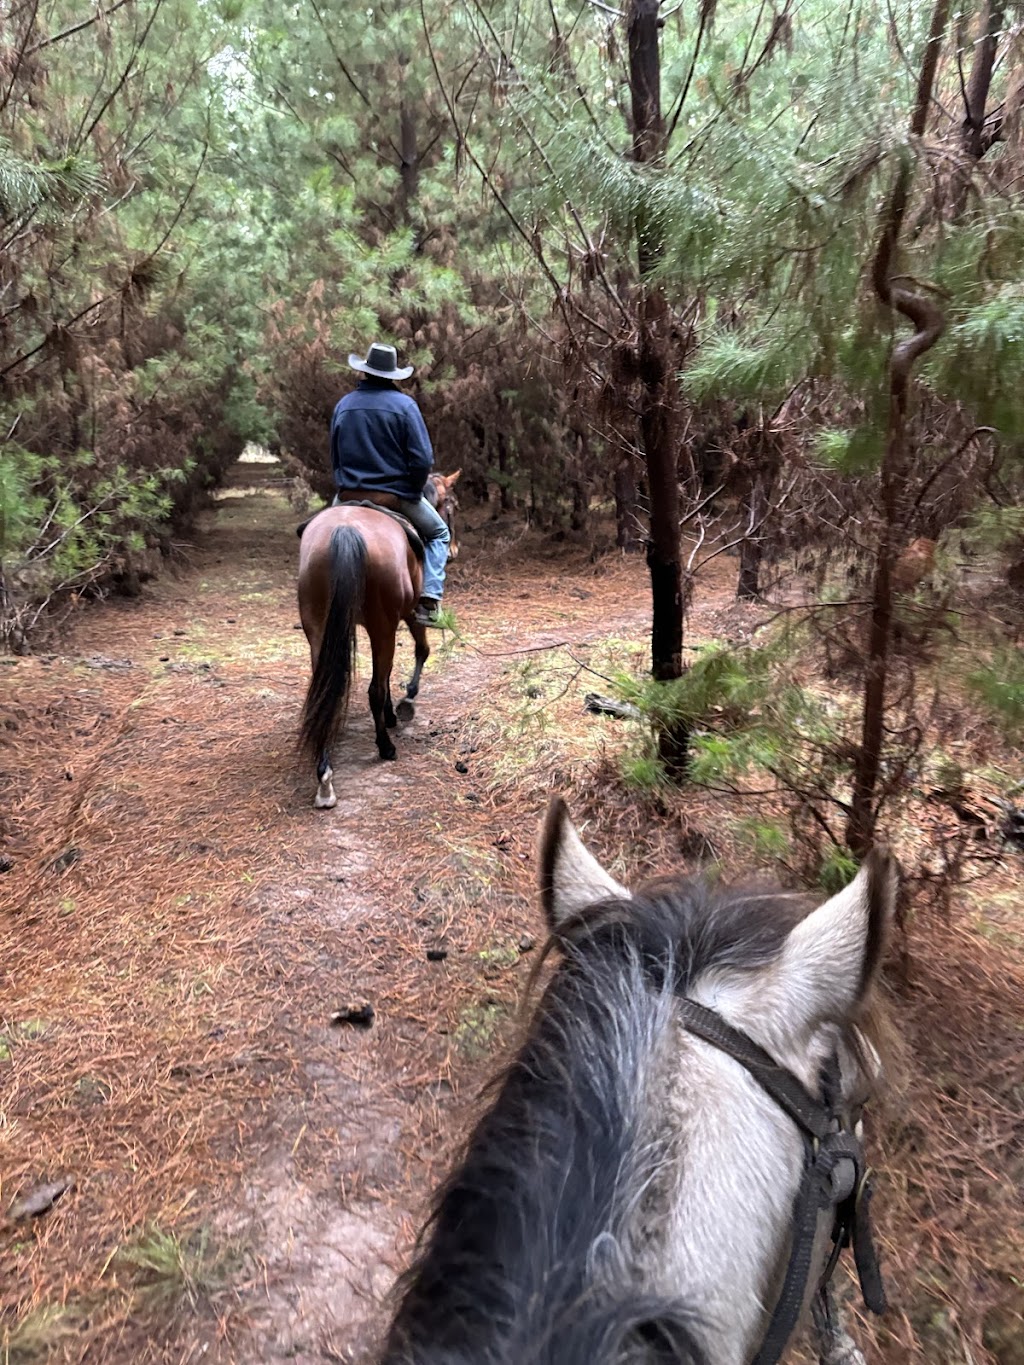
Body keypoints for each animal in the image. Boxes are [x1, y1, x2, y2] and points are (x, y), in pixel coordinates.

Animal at [296, 472, 459, 808]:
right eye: (454, 504)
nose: (453, 552)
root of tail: (345, 529)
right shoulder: (409, 614)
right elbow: (419, 652)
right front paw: (404, 703)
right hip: (382, 624)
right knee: (375, 687)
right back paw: (385, 747)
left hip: (318, 626)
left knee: (325, 690)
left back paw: (324, 776)